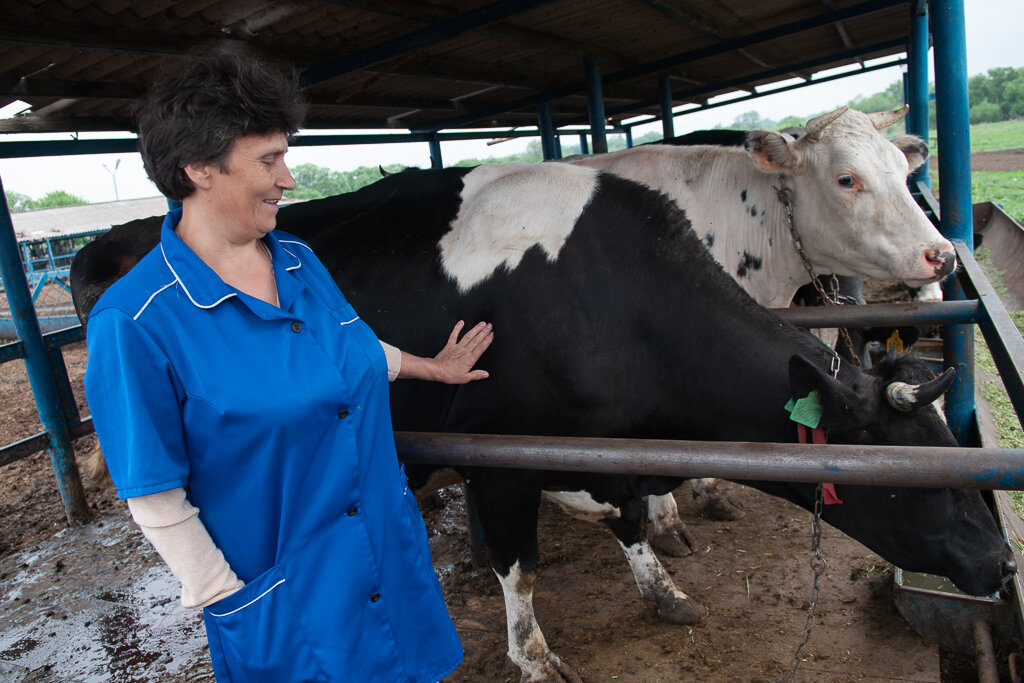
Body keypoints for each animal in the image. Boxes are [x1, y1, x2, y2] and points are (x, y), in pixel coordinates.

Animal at [74, 161, 1015, 683]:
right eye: (919, 485)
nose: (1003, 562)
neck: (611, 299)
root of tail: (114, 239)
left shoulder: (605, 450)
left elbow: (631, 519)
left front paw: (663, 589)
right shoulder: (502, 459)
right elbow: (519, 568)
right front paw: (533, 656)